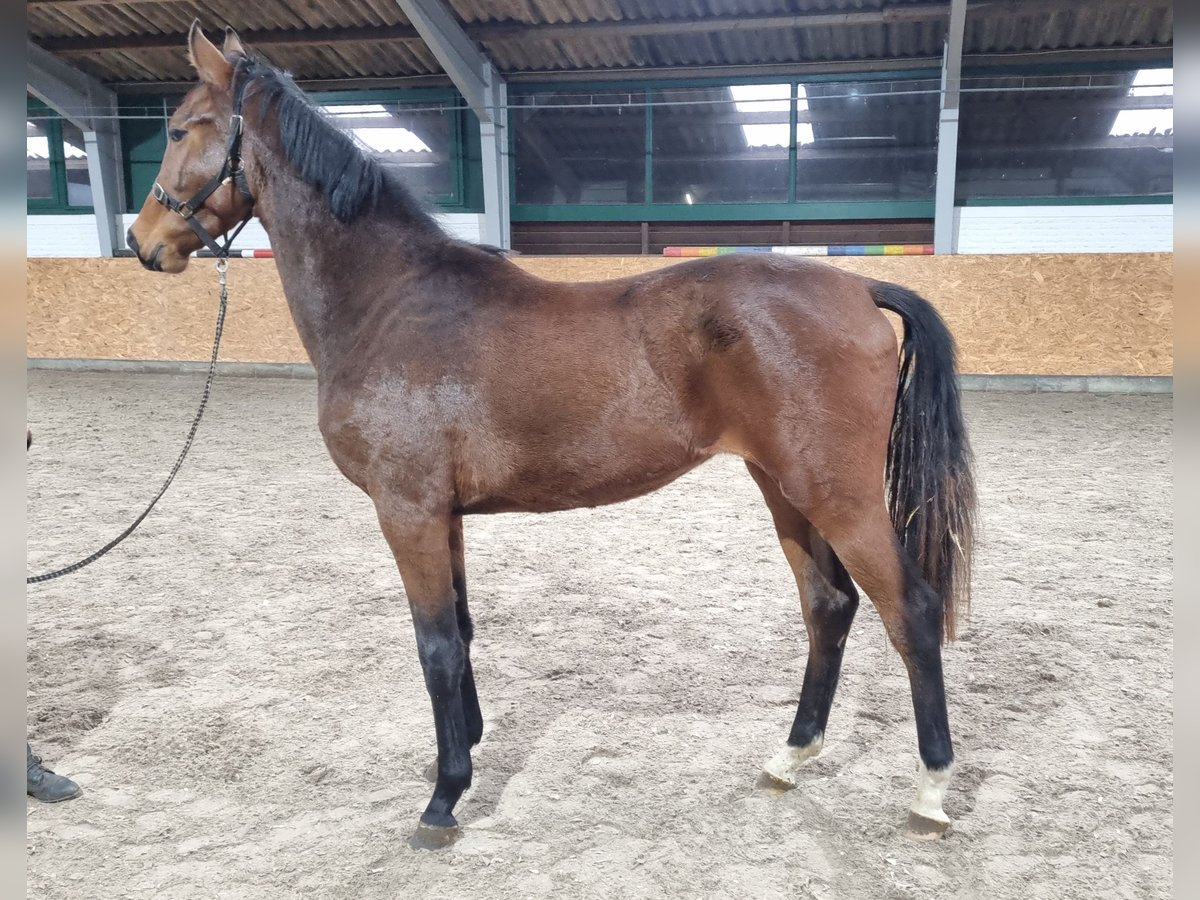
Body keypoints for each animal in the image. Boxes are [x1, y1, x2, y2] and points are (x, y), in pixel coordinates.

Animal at [129, 22, 974, 854]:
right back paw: (789, 757)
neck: (389, 300)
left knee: (911, 609)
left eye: (178, 128)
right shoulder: (444, 517)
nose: (144, 241)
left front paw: (444, 798)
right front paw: (465, 749)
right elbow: (462, 631)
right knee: (828, 605)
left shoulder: (407, 511)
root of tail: (858, 284)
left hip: (840, 495)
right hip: (785, 487)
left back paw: (930, 789)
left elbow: (435, 646)